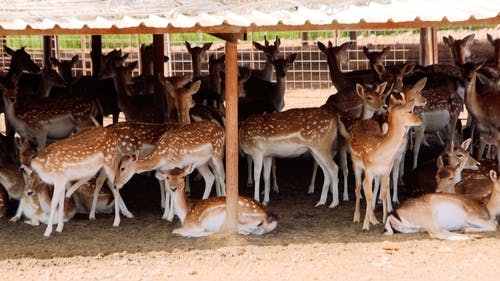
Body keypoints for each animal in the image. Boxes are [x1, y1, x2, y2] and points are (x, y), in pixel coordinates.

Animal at [340, 94, 422, 230]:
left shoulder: (386, 170)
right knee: (358, 187)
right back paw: (357, 217)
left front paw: (384, 218)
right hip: (356, 163)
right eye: (410, 111)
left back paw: (373, 219)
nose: (420, 120)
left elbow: (383, 192)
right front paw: (365, 225)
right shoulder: (369, 170)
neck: (381, 151)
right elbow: (368, 194)